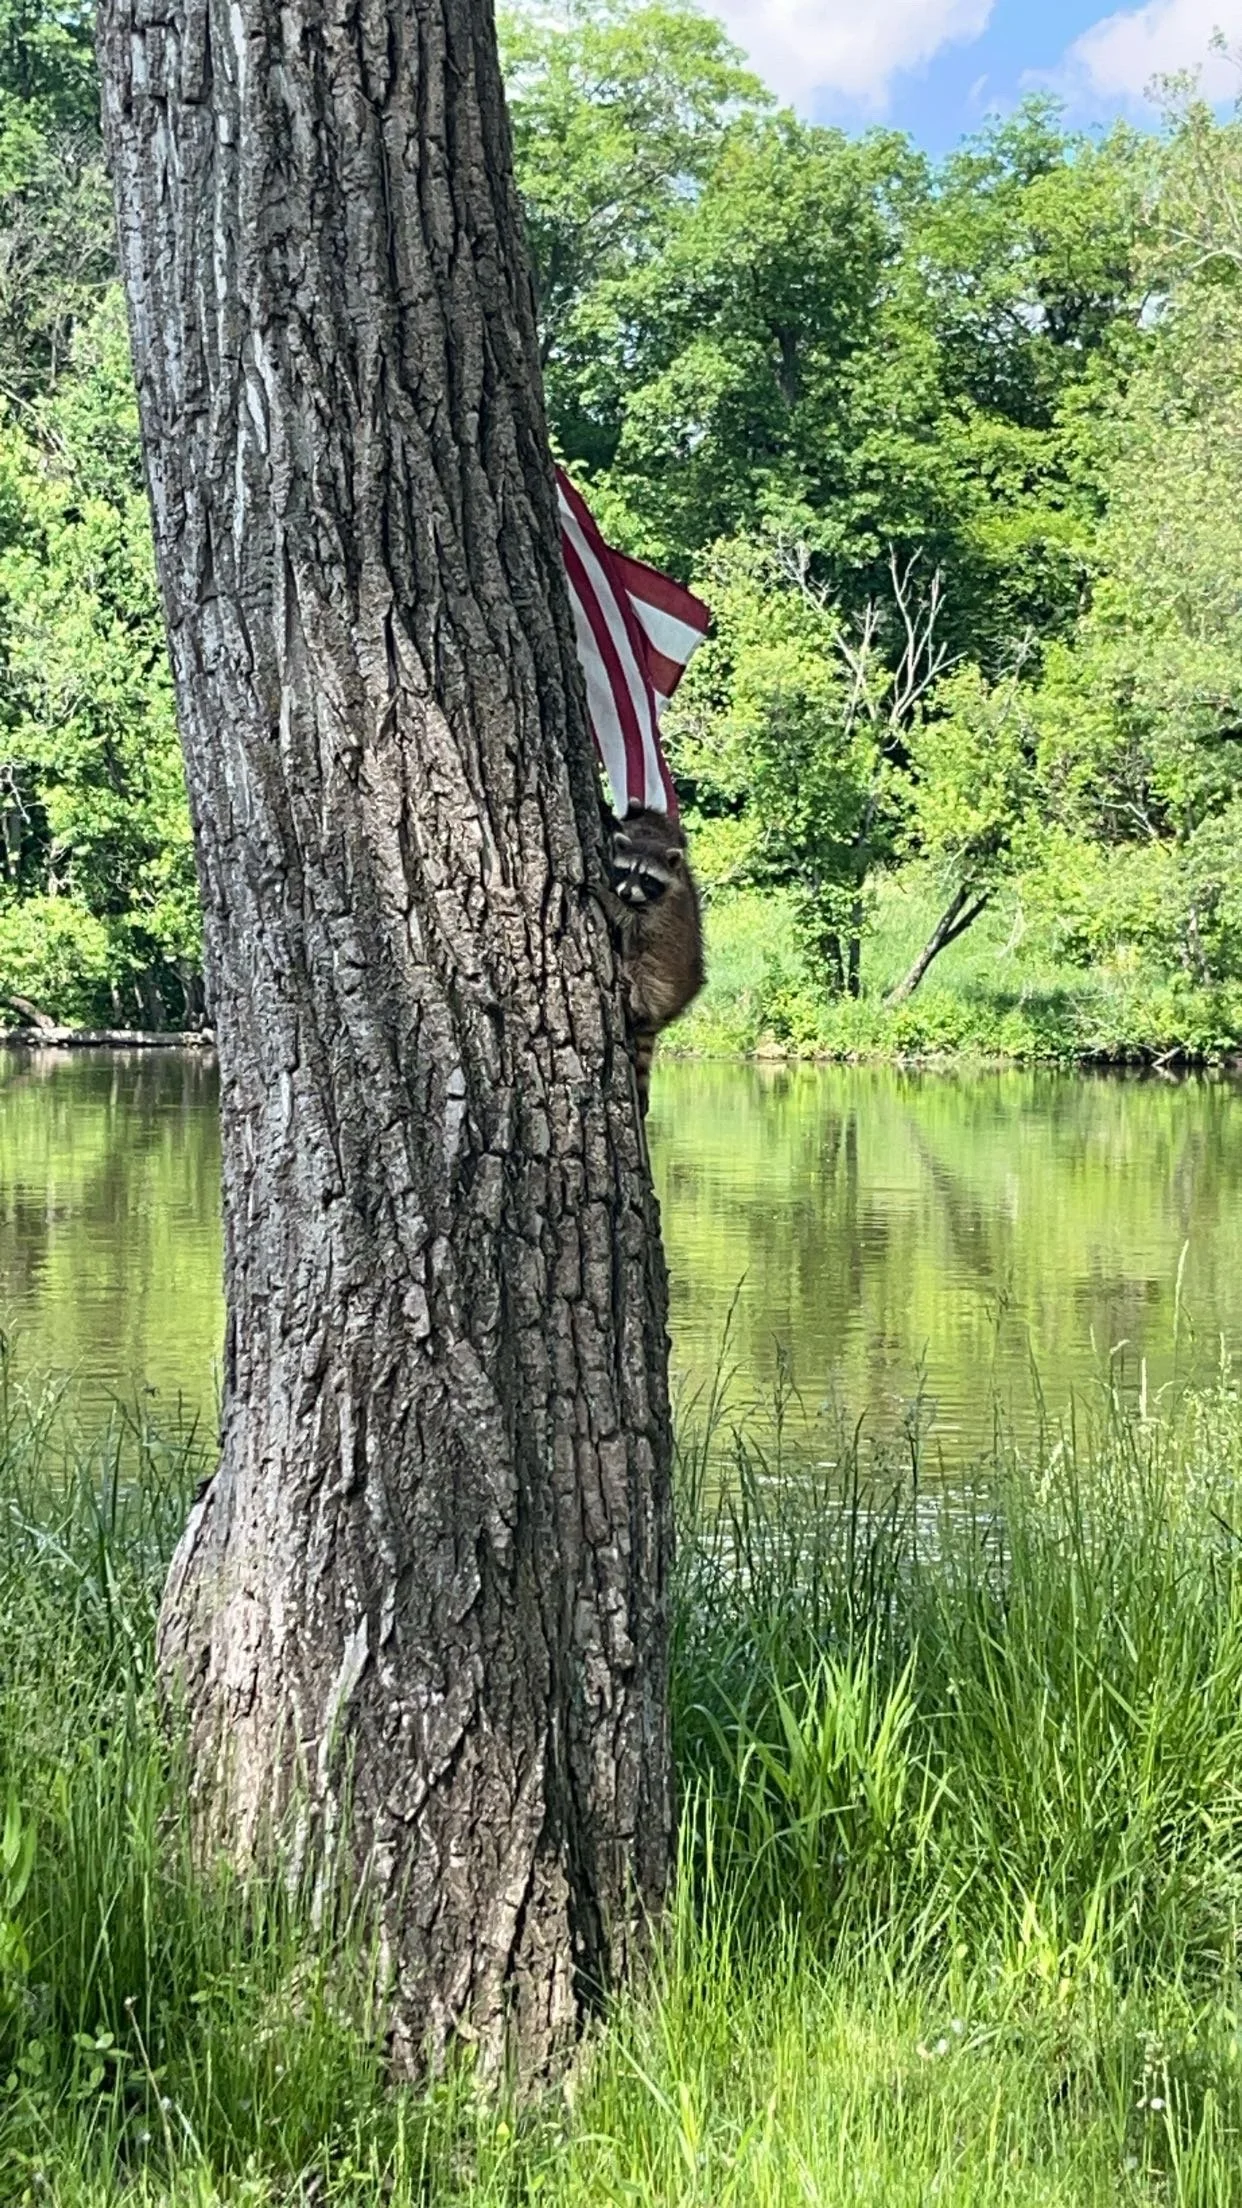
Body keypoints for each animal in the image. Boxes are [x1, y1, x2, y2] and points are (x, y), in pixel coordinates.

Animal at [606, 804, 705, 1114]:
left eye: (647, 878)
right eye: (626, 871)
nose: (625, 892)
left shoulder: (655, 915)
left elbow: (626, 915)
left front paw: (602, 892)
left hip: (660, 980)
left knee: (645, 977)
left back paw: (634, 1004)